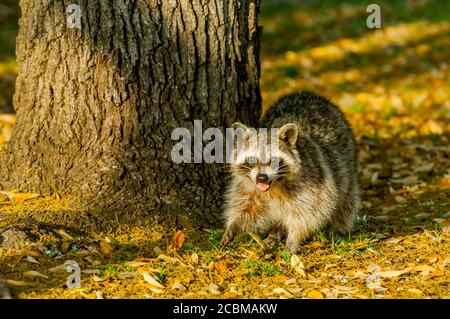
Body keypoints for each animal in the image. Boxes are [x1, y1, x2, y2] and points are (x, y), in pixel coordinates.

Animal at [220, 91, 360, 254]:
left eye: (273, 160)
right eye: (252, 159)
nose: (262, 177)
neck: (274, 186)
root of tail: (308, 94)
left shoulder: (312, 182)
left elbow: (307, 213)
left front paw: (293, 238)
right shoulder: (247, 186)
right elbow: (245, 208)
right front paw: (233, 225)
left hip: (346, 166)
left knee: (346, 200)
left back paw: (340, 229)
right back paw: (274, 233)